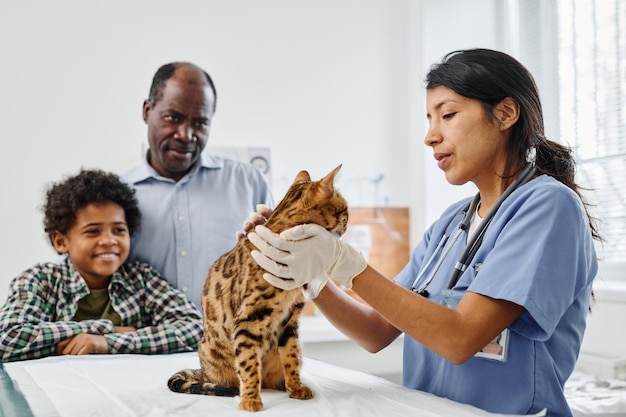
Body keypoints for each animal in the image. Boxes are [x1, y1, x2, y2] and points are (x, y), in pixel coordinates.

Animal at [168, 163, 348, 410]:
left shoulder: (289, 321)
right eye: (346, 209)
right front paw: (250, 398)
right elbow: (249, 365)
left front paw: (296, 387)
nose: (348, 223)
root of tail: (203, 371)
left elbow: (290, 358)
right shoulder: (247, 322)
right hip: (210, 351)